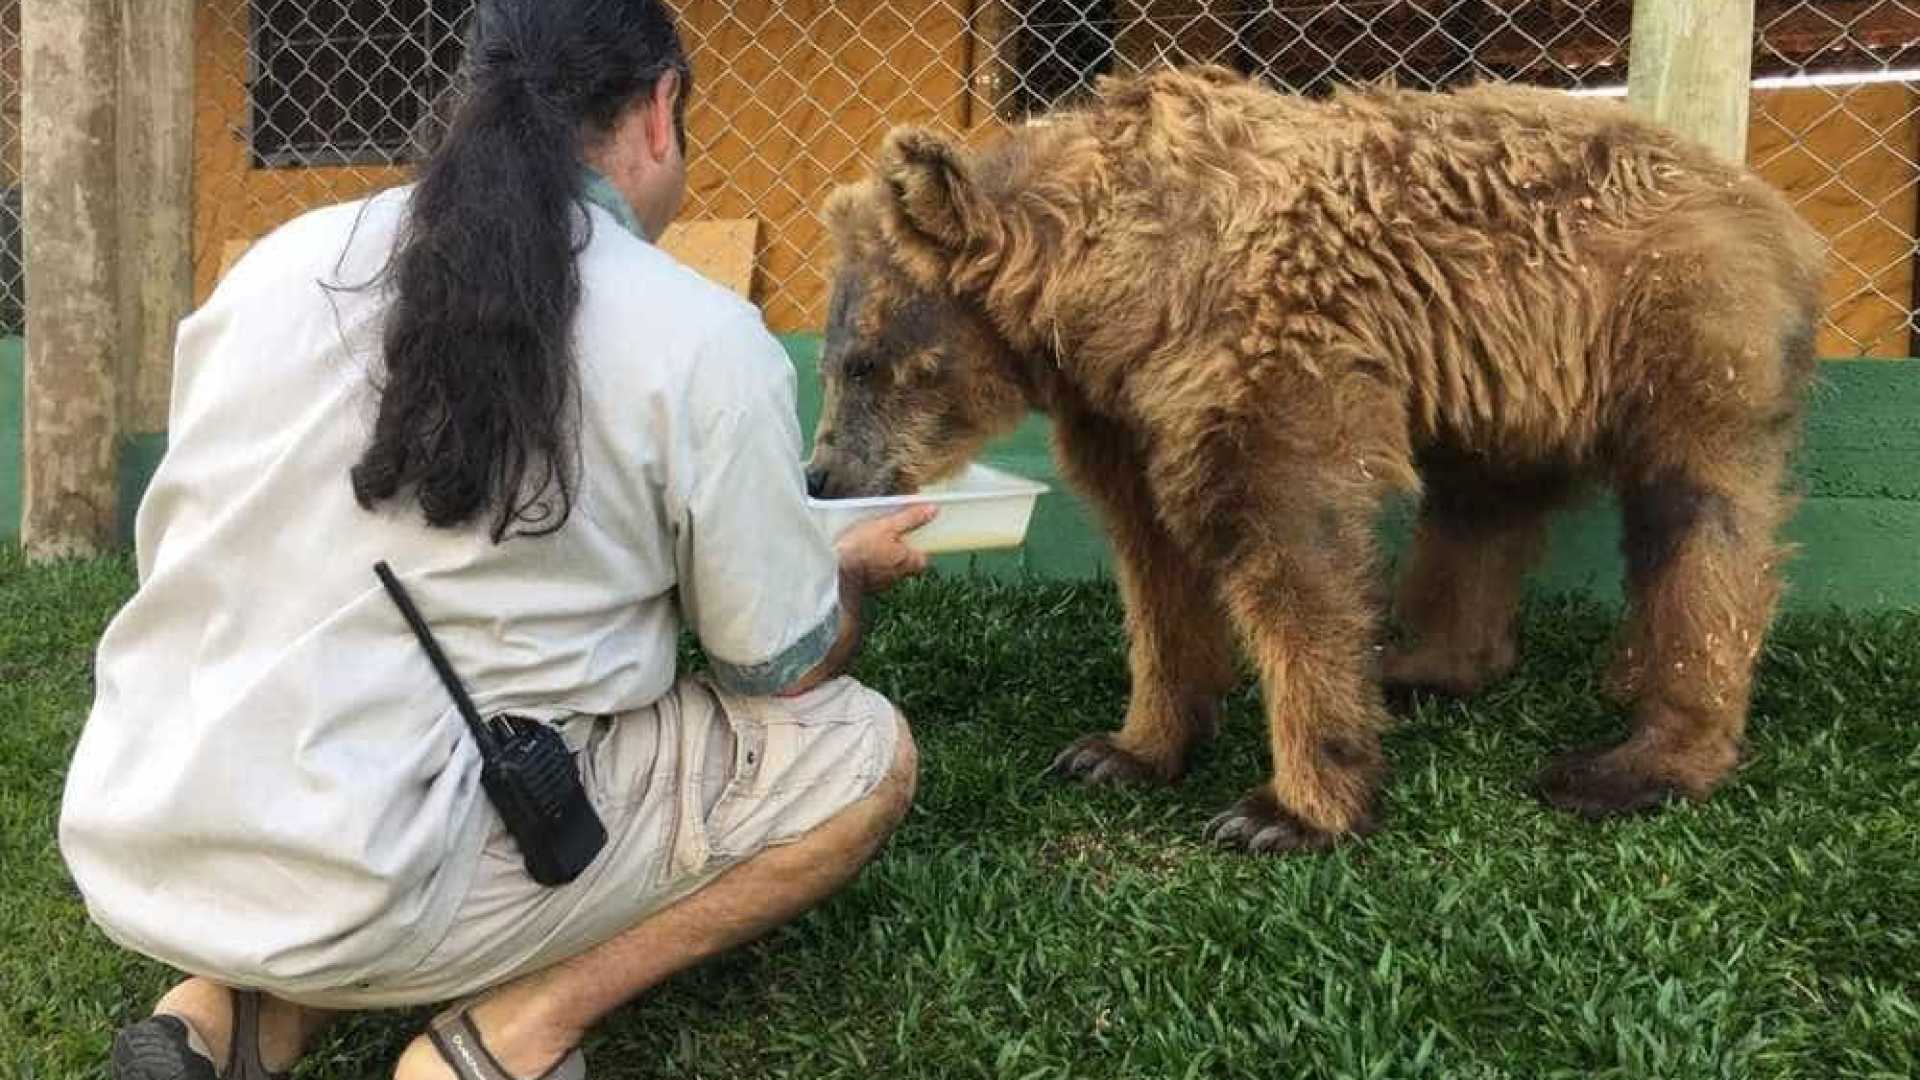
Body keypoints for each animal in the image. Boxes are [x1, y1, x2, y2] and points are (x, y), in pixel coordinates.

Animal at [802, 65, 1820, 849]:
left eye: (861, 362)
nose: (823, 475)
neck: (1108, 288)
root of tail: (1769, 203)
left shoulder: (1263, 352)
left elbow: (1292, 547)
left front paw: (1287, 807)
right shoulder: (1126, 405)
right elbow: (1153, 563)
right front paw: (1122, 747)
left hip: (1675, 324)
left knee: (1700, 524)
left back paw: (1638, 760)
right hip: (1513, 379)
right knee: (1480, 505)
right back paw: (1428, 666)